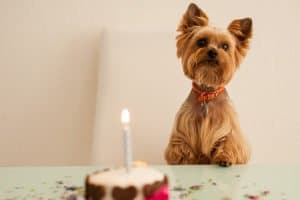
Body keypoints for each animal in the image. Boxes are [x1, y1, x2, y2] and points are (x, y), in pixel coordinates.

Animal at [165, 2, 252, 167]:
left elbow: (228, 142)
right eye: (201, 42)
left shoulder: (229, 128)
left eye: (225, 46)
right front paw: (187, 161)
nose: (212, 52)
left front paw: (224, 157)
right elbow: (182, 148)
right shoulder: (183, 130)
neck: (207, 93)